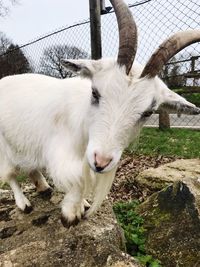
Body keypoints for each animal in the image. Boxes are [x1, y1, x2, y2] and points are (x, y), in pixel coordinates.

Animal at [0, 0, 200, 227]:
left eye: (148, 112)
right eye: (95, 93)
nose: (101, 162)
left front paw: (81, 205)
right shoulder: (62, 151)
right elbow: (78, 179)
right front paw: (71, 213)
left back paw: (43, 187)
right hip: (4, 146)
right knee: (10, 174)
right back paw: (23, 203)